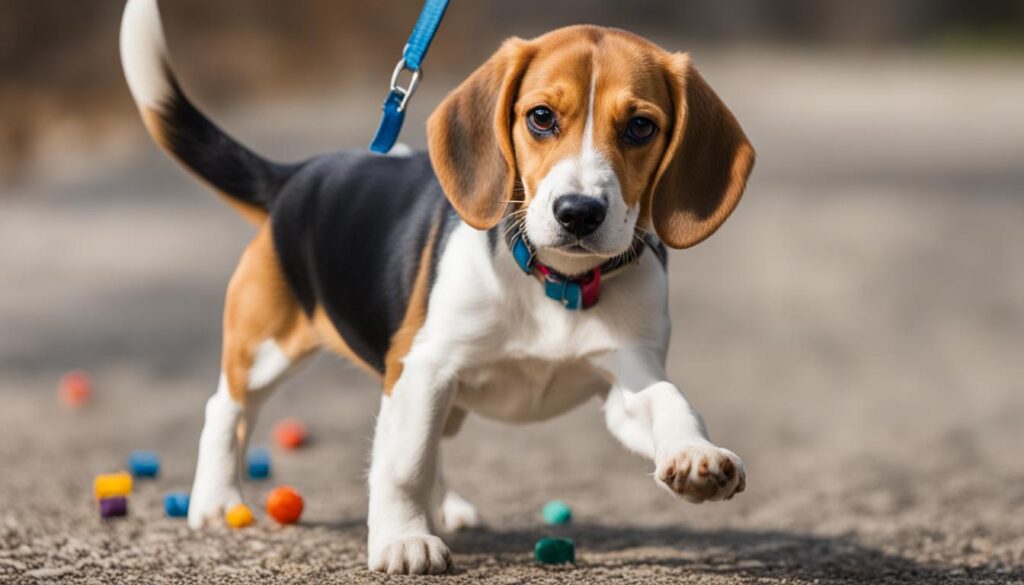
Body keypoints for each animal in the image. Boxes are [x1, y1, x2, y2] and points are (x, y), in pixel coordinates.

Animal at [121, 0, 753, 577]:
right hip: (267, 347)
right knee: (227, 408)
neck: (555, 283)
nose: (578, 212)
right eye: (541, 117)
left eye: (641, 126)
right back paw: (216, 500)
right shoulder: (426, 364)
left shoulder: (628, 377)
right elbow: (403, 465)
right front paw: (403, 541)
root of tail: (296, 176)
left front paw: (696, 457)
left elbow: (669, 401)